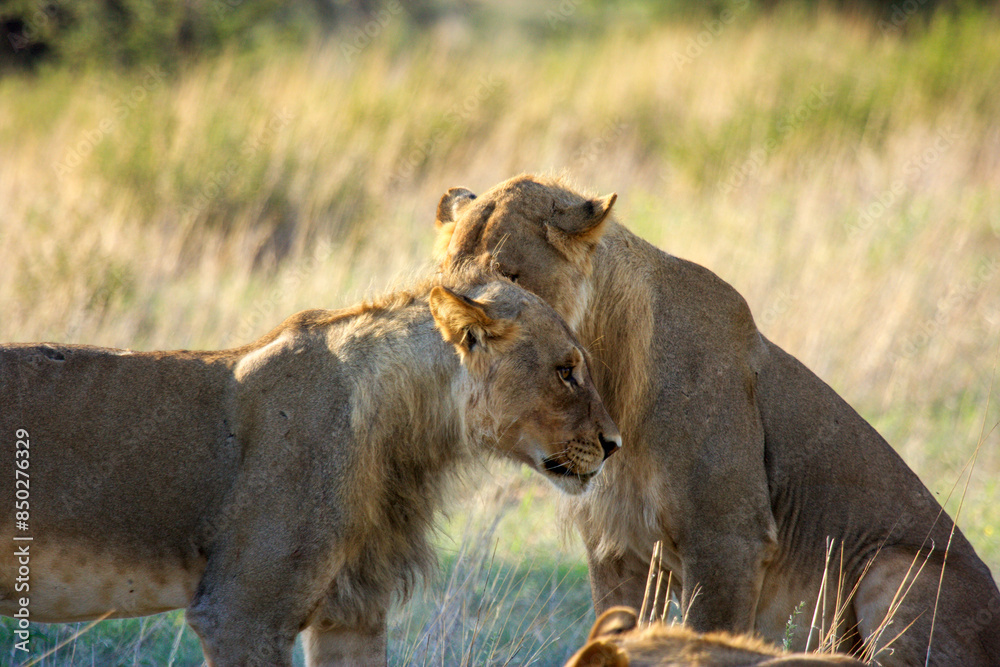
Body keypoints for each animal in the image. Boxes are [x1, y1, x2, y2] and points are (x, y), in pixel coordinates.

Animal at [434, 174, 1000, 666]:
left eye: (508, 276)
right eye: (445, 281)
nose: (459, 334)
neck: (609, 374)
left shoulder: (727, 539)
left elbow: (707, 636)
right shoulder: (614, 551)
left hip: (894, 566)